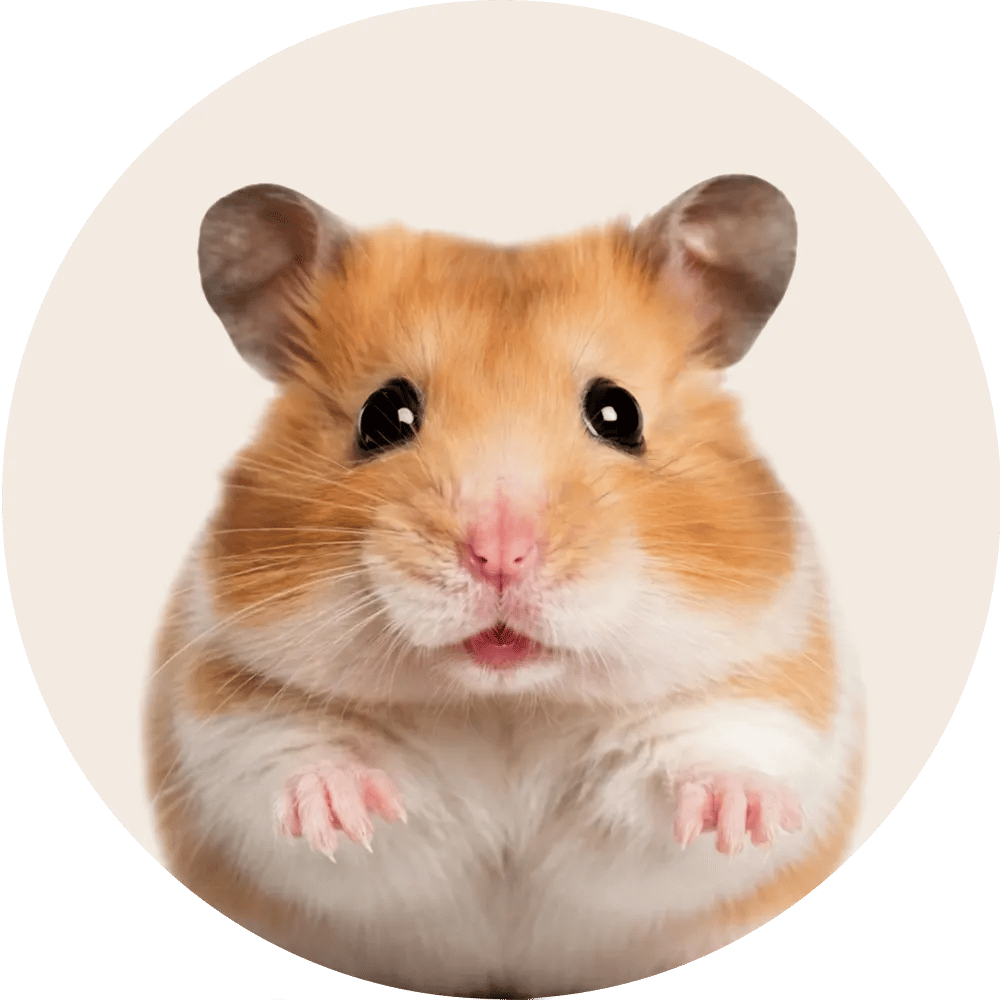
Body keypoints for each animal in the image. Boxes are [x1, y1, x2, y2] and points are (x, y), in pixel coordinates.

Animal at [144, 176, 864, 998]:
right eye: (383, 414)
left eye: (618, 412)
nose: (499, 556)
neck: (506, 705)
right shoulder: (226, 709)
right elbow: (288, 755)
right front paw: (341, 810)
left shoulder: (766, 688)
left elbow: (722, 750)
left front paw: (739, 818)